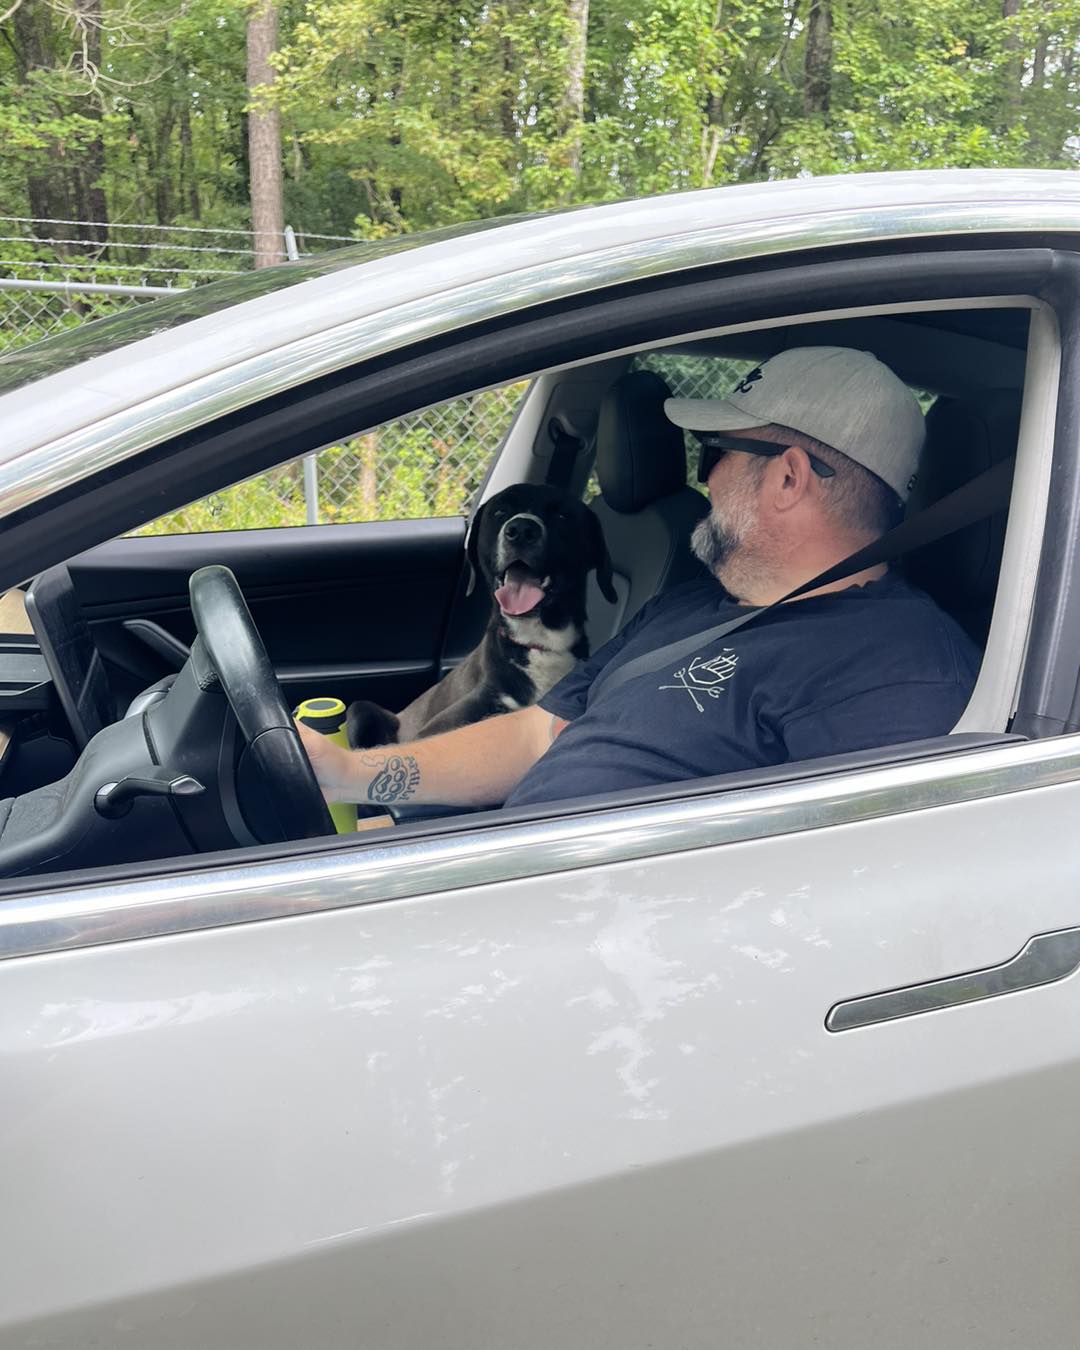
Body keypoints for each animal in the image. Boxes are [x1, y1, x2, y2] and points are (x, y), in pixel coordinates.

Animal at [348, 483, 615, 750]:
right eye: (500, 511)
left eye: (562, 515)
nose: (521, 530)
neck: (538, 642)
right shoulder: (438, 727)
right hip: (361, 709)